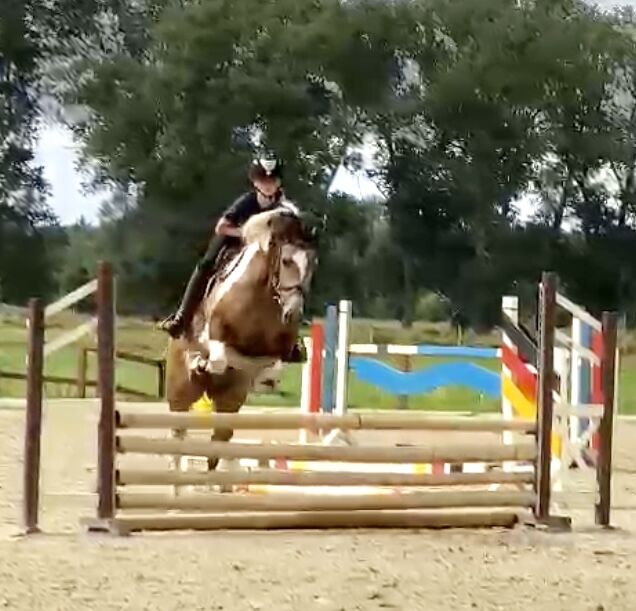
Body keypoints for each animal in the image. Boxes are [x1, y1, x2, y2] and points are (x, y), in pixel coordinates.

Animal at [163, 206, 318, 478]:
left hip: (229, 400)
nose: (293, 313)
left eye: (313, 264)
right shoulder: (216, 334)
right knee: (178, 435)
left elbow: (267, 362)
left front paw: (263, 377)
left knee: (219, 439)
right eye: (286, 261)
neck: (263, 293)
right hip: (180, 392)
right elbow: (219, 357)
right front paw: (203, 362)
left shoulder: (278, 348)